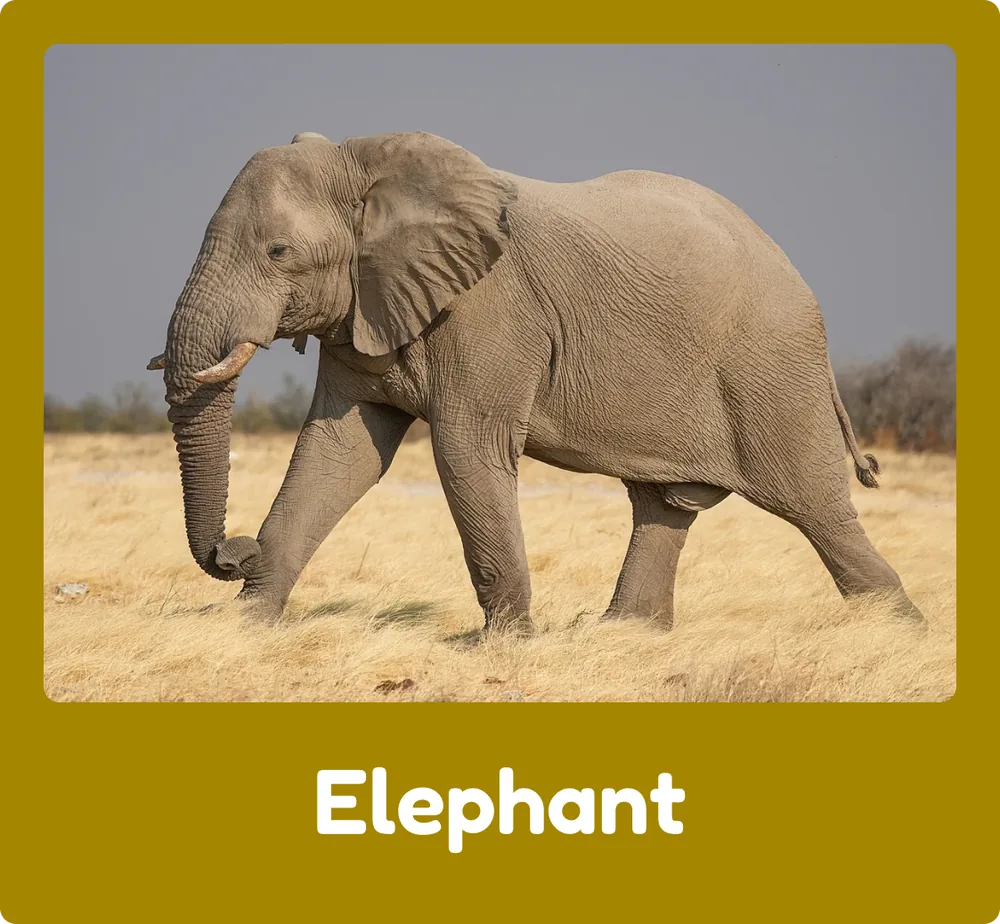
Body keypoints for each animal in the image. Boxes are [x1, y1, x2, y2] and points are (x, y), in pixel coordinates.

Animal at [147, 129, 923, 634]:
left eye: (279, 252)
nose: (232, 551)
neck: (368, 161)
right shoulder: (365, 308)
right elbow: (339, 454)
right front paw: (245, 631)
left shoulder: (489, 311)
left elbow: (465, 452)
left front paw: (504, 646)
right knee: (664, 505)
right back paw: (622, 637)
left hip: (770, 368)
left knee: (816, 508)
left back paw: (899, 634)